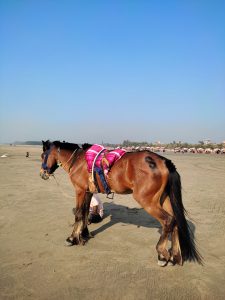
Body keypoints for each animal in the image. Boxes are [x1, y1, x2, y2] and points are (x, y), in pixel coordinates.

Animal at [39, 139, 202, 266]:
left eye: (42, 155)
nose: (42, 174)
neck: (78, 160)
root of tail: (164, 161)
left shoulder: (79, 191)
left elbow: (79, 214)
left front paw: (72, 238)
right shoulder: (88, 192)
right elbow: (85, 213)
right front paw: (84, 234)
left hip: (148, 201)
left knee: (168, 220)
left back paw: (162, 253)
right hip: (165, 200)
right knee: (175, 222)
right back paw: (176, 255)